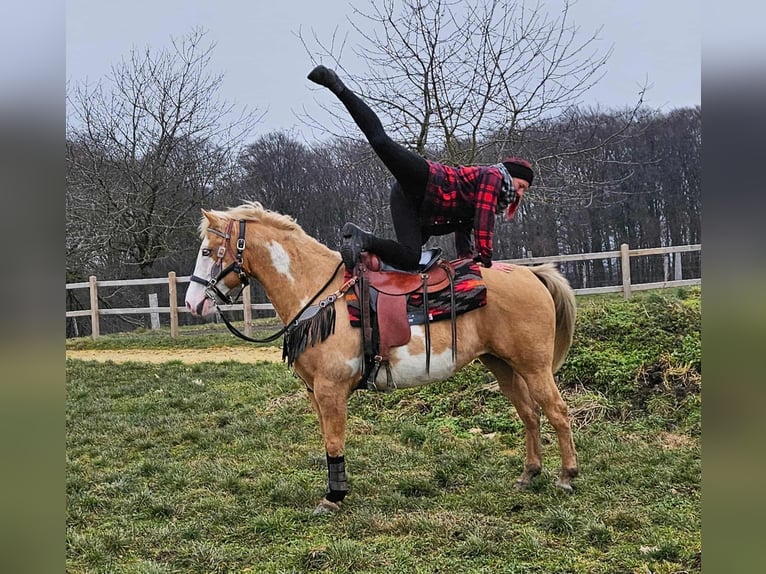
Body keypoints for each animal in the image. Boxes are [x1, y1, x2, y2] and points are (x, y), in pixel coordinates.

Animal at [184, 201, 578, 515]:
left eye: (207, 251)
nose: (192, 303)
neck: (320, 295)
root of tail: (532, 273)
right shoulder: (315, 393)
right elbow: (328, 440)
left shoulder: (330, 390)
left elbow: (334, 441)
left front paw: (333, 497)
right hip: (502, 365)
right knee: (529, 414)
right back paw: (529, 474)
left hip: (533, 366)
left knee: (557, 412)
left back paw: (567, 477)